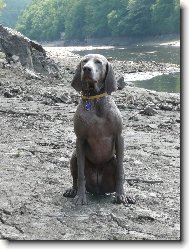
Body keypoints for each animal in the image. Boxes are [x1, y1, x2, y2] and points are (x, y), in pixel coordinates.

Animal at [63, 54, 134, 204]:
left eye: (98, 62)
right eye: (84, 61)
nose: (86, 69)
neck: (95, 100)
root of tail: (98, 191)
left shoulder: (119, 137)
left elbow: (120, 173)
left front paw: (121, 195)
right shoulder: (80, 139)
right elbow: (81, 175)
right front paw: (80, 196)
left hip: (113, 160)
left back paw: (126, 195)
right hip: (74, 156)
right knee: (75, 178)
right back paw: (73, 190)